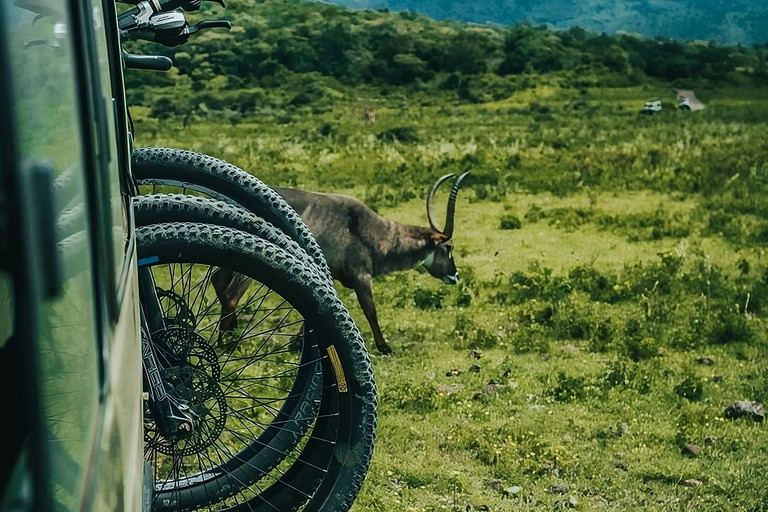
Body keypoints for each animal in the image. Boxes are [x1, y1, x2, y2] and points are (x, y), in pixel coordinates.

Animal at [213, 173, 472, 356]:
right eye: (448, 247)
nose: (455, 275)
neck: (375, 230)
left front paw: (296, 344)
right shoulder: (361, 276)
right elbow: (370, 310)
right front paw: (384, 346)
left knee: (218, 281)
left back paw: (228, 332)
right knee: (232, 295)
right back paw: (226, 343)